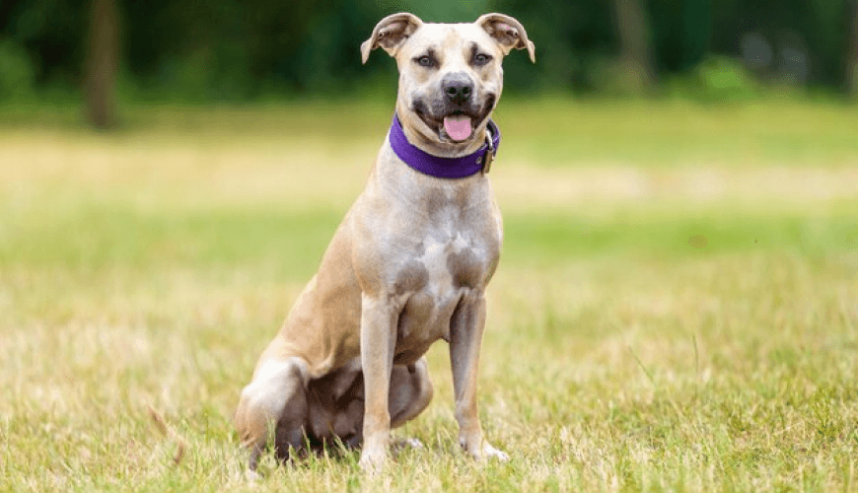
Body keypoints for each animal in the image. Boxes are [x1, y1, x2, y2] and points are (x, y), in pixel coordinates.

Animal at [232, 12, 528, 472]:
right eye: (425, 59)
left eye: (481, 57)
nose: (457, 88)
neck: (442, 179)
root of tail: (318, 438)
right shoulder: (378, 306)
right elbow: (376, 403)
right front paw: (376, 465)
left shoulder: (473, 305)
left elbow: (467, 394)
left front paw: (478, 452)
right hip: (278, 381)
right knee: (255, 447)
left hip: (418, 378)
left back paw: (395, 446)